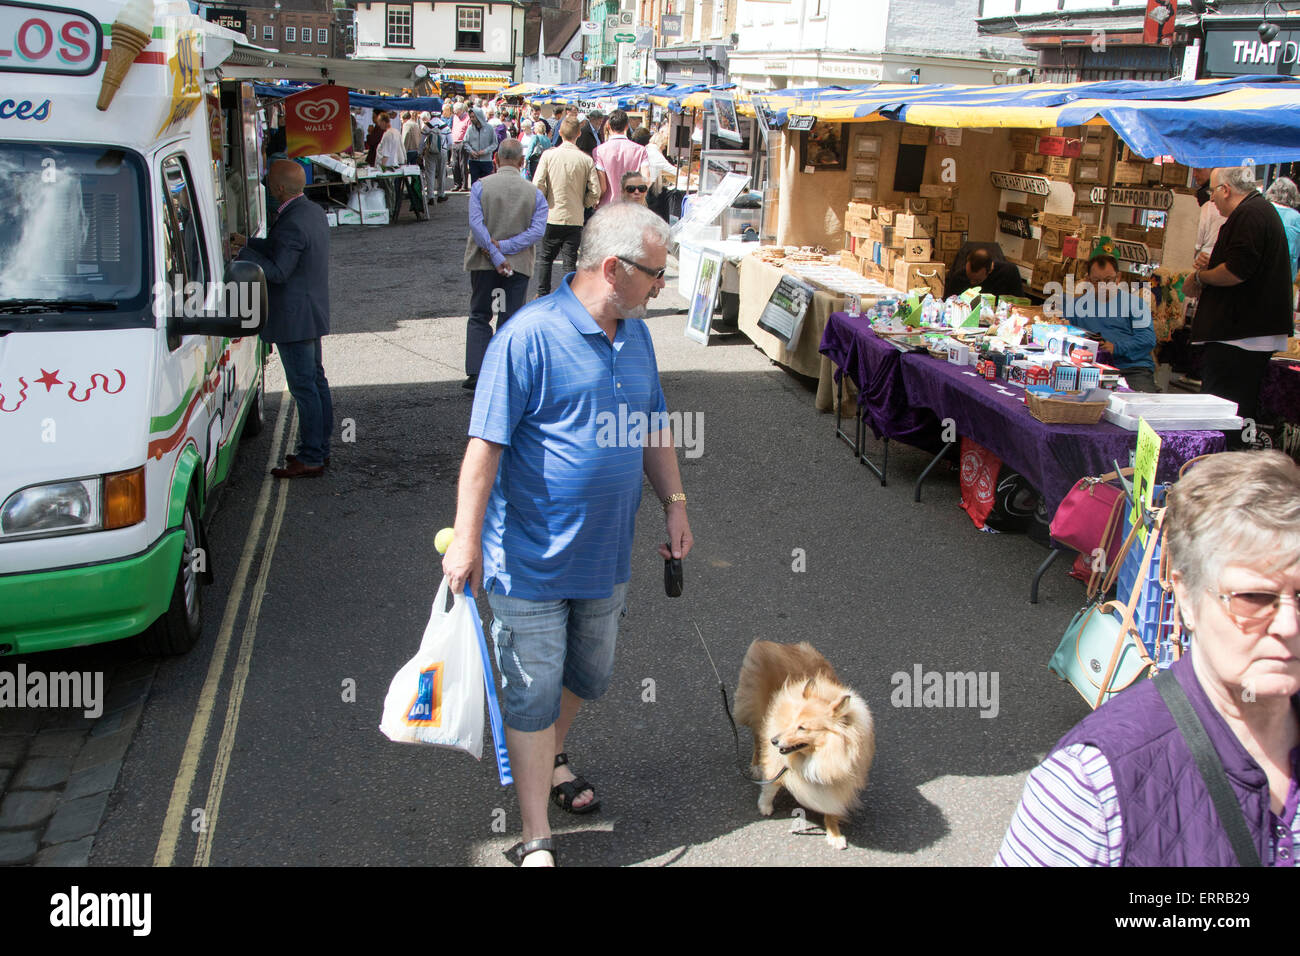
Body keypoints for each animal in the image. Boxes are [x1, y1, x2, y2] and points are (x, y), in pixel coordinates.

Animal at [733, 639, 873, 848]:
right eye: (790, 721)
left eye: (802, 728)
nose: (774, 740)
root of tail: (771, 643)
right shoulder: (777, 762)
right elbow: (771, 786)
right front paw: (765, 806)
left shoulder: (837, 779)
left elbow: (831, 808)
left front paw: (834, 834)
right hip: (757, 712)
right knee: (757, 739)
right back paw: (757, 766)